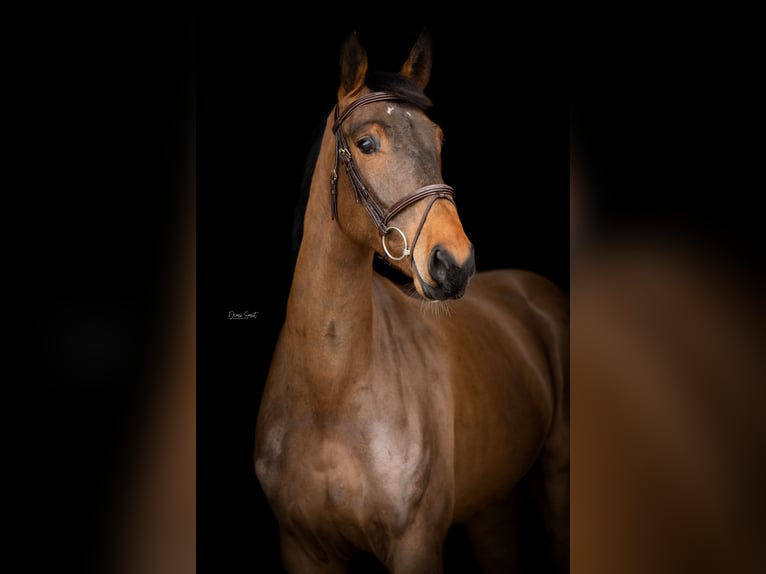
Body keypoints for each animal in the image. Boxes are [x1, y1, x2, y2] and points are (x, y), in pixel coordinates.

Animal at [254, 29, 569, 573]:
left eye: (437, 140)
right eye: (366, 144)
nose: (454, 263)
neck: (327, 397)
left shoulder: (416, 543)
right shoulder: (301, 547)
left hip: (556, 480)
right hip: (491, 508)